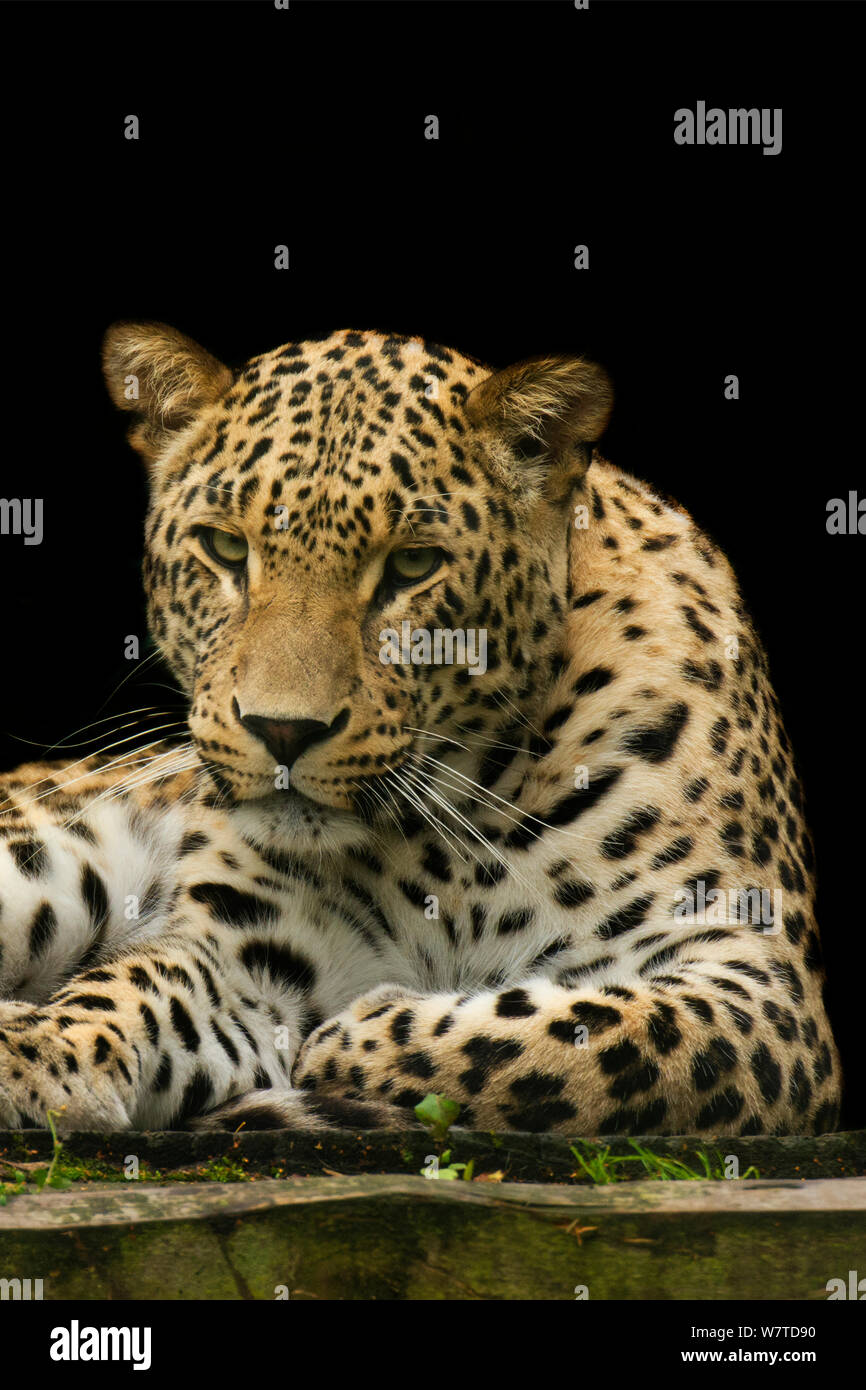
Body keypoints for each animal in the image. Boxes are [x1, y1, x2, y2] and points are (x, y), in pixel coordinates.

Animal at [0, 322, 839, 1139]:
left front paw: (358, 1030)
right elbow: (137, 987)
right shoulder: (245, 954)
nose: (281, 731)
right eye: (226, 547)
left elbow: (596, 1045)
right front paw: (32, 1049)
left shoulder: (754, 970)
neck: (465, 828)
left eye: (412, 565)